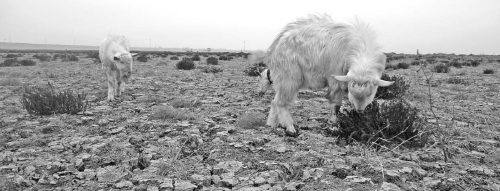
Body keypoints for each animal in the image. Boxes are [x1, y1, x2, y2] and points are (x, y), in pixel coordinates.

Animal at [254, 13, 394, 136]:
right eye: (351, 90)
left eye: (371, 93)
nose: (359, 110)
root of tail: (275, 47)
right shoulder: (336, 79)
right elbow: (336, 105)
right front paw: (333, 126)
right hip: (289, 77)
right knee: (280, 103)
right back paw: (290, 128)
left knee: (274, 101)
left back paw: (272, 124)